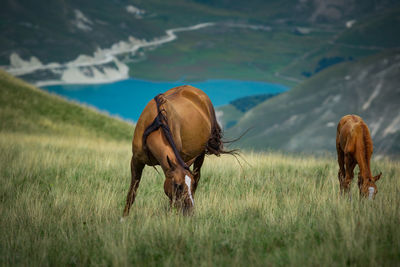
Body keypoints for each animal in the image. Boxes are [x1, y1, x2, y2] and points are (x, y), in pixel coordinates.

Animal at [123, 86, 233, 218]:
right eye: (177, 185)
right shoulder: (136, 161)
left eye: (191, 185)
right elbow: (132, 193)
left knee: (197, 175)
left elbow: (172, 201)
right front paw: (123, 218)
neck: (156, 125)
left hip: (200, 155)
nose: (189, 211)